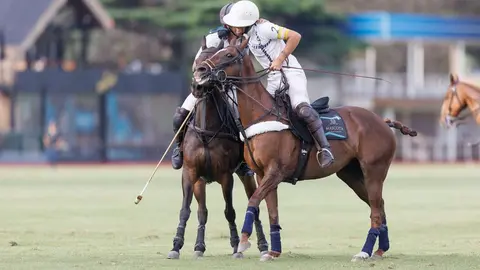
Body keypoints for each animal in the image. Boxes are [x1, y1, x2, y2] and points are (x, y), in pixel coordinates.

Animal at [167, 38, 268, 260]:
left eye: (213, 59)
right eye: (197, 62)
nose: (197, 86)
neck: (206, 131)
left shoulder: (226, 175)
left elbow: (229, 211)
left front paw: (236, 245)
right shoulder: (190, 173)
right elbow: (187, 210)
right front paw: (176, 245)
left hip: (246, 175)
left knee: (254, 205)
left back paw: (264, 245)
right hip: (200, 181)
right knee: (202, 211)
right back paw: (199, 246)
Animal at [191, 36, 416, 262]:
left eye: (228, 54)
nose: (200, 70)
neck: (261, 115)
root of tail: (383, 121)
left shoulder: (275, 172)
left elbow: (254, 201)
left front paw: (244, 241)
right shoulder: (262, 174)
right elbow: (272, 210)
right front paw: (273, 252)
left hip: (374, 171)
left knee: (376, 209)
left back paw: (364, 252)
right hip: (351, 174)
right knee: (379, 205)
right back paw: (379, 250)